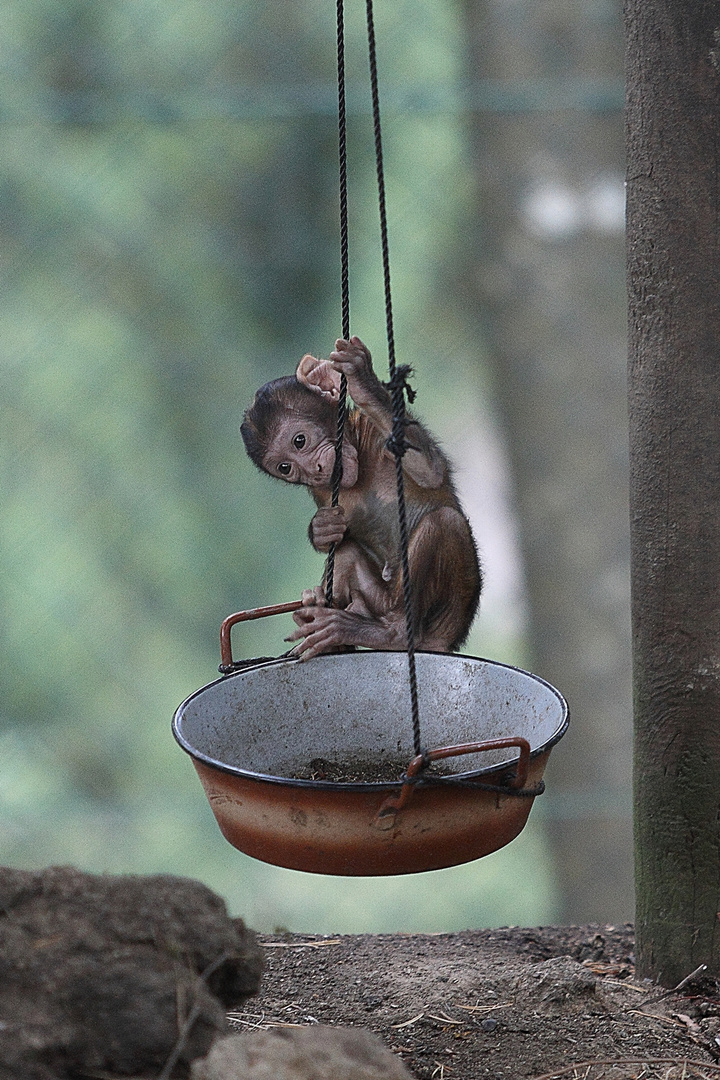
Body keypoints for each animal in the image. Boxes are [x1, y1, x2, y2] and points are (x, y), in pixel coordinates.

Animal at [241, 336, 483, 656]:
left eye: (300, 441)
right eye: (286, 468)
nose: (315, 471)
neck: (360, 450)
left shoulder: (379, 435)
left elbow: (429, 469)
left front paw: (361, 380)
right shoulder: (322, 490)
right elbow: (337, 537)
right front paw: (321, 528)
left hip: (445, 621)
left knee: (444, 523)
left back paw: (392, 633)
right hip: (378, 600)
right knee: (346, 554)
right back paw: (329, 622)